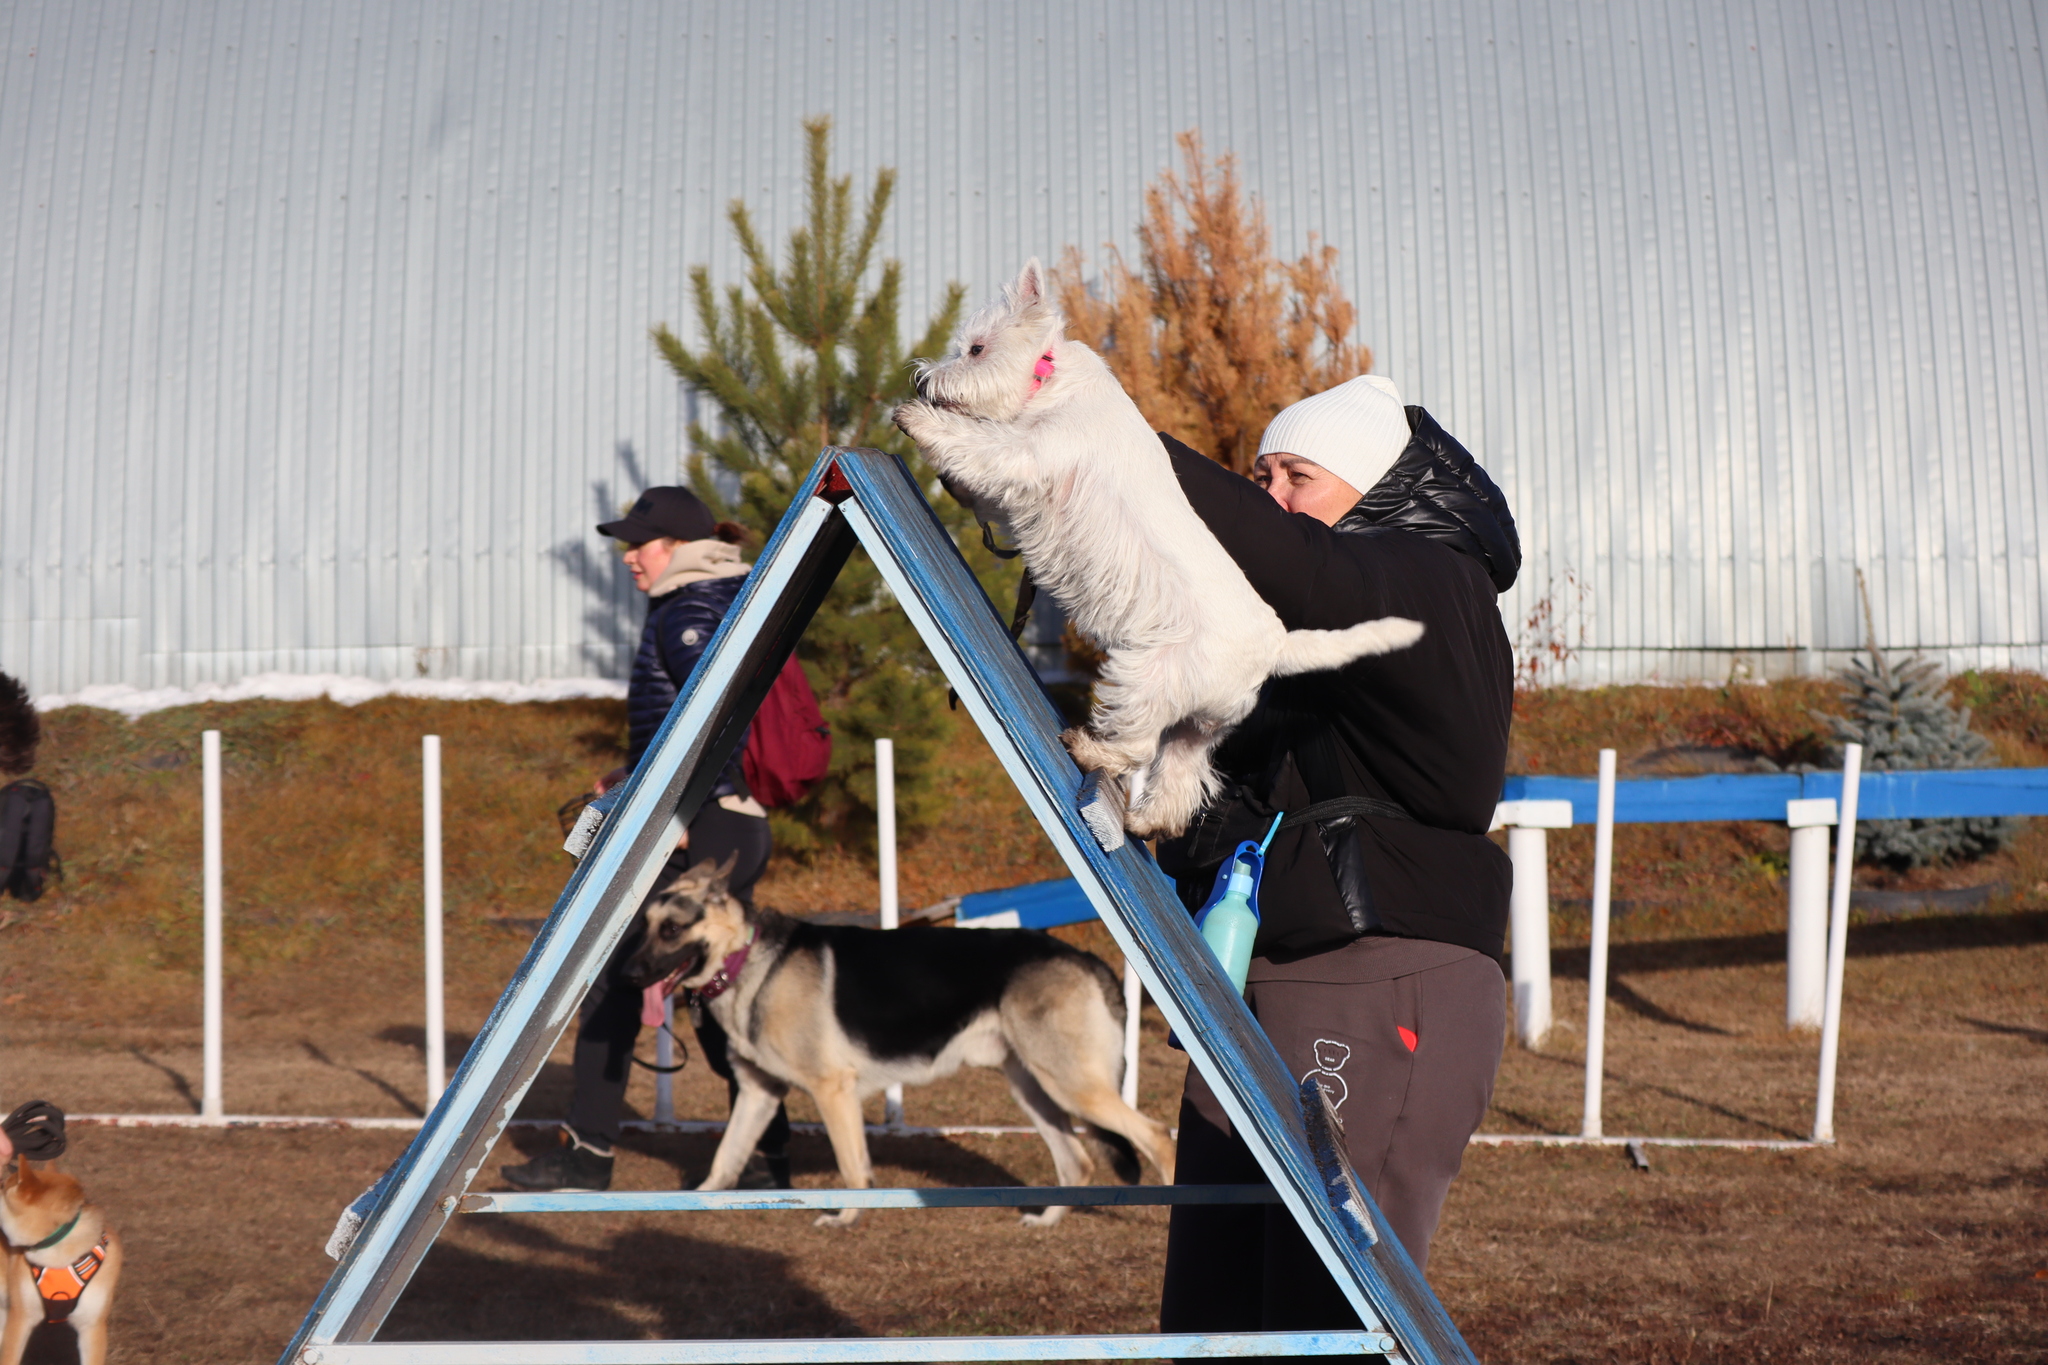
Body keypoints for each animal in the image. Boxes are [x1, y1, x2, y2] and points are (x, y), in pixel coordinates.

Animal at [897, 254, 1425, 834]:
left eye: (975, 349)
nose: (923, 380)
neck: (1049, 377)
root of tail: (1275, 650)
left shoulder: (1028, 454)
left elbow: (978, 446)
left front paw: (916, 419)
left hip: (1146, 676)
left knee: (1138, 747)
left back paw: (1089, 750)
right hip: (1202, 724)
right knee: (1180, 776)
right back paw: (1145, 821)